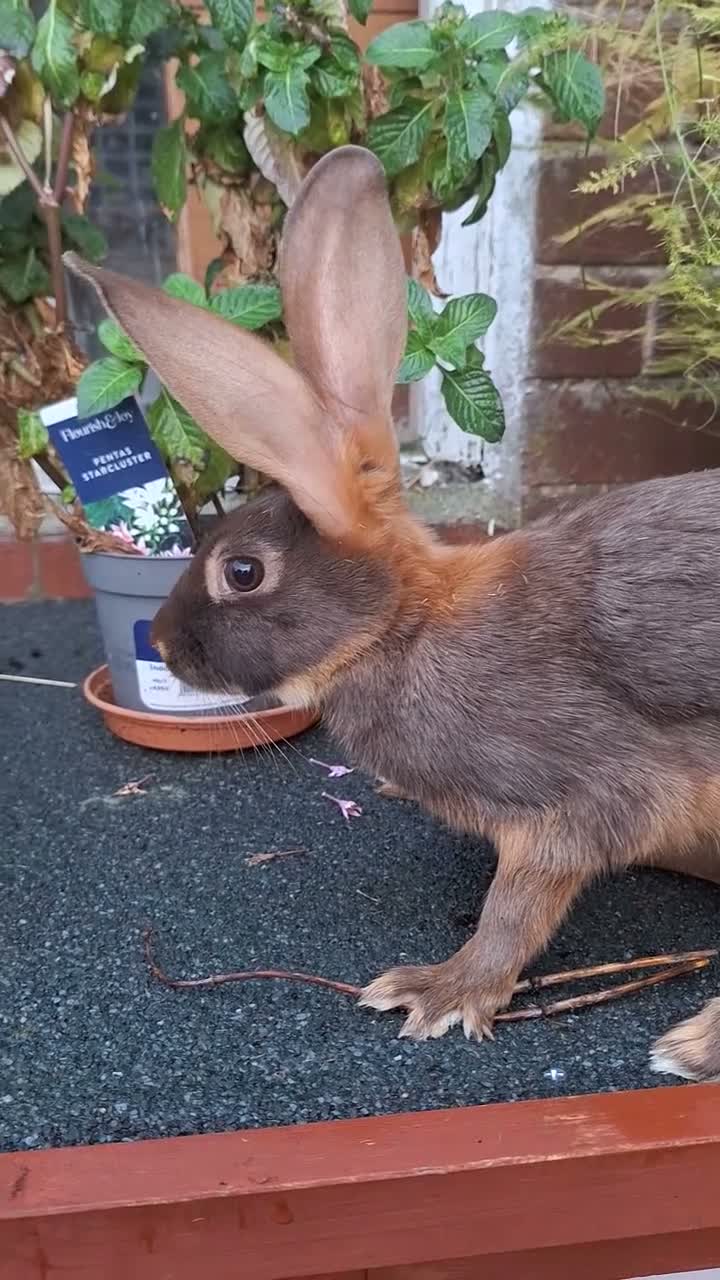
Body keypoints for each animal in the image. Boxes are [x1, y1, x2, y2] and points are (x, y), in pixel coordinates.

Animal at [65, 145, 720, 1081]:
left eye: (241, 571)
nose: (160, 642)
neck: (401, 624)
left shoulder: (573, 796)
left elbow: (516, 908)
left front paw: (440, 990)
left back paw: (693, 1046)